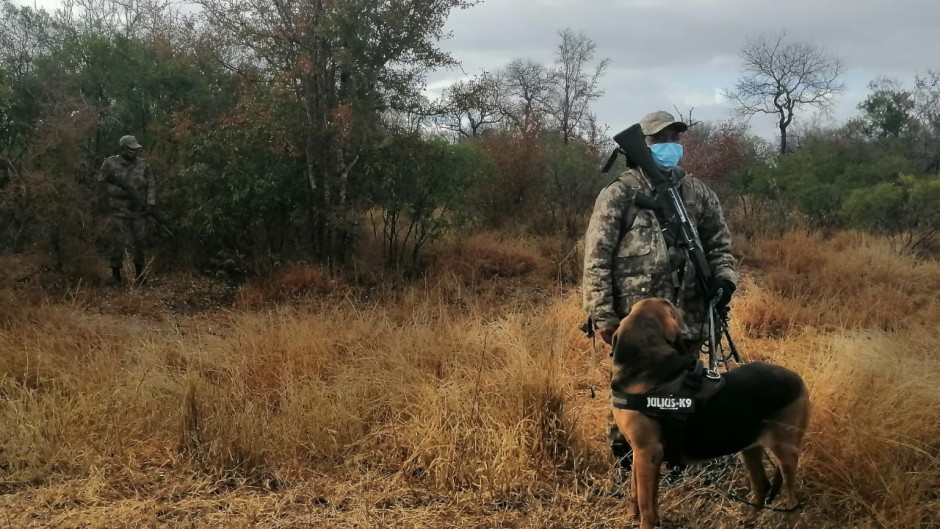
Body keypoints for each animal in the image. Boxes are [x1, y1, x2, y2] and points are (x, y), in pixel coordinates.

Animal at [608, 296, 808, 528]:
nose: (684, 311)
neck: (645, 366)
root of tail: (799, 382)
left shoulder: (648, 451)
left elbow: (646, 504)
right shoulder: (639, 451)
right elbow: (637, 494)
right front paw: (634, 517)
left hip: (785, 453)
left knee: (791, 501)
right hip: (750, 447)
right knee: (762, 486)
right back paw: (747, 520)